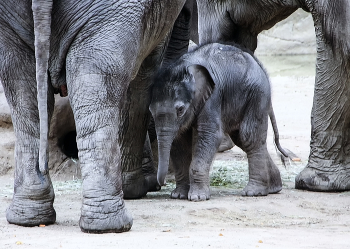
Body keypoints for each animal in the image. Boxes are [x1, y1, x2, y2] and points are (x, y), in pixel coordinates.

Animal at [149, 42, 292, 201]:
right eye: (151, 111)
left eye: (180, 110)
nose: (159, 184)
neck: (185, 67)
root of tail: (261, 68)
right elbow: (179, 141)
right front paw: (179, 195)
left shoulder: (213, 97)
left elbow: (209, 135)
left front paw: (197, 198)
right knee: (242, 139)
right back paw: (273, 188)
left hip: (257, 95)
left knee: (249, 137)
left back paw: (254, 192)